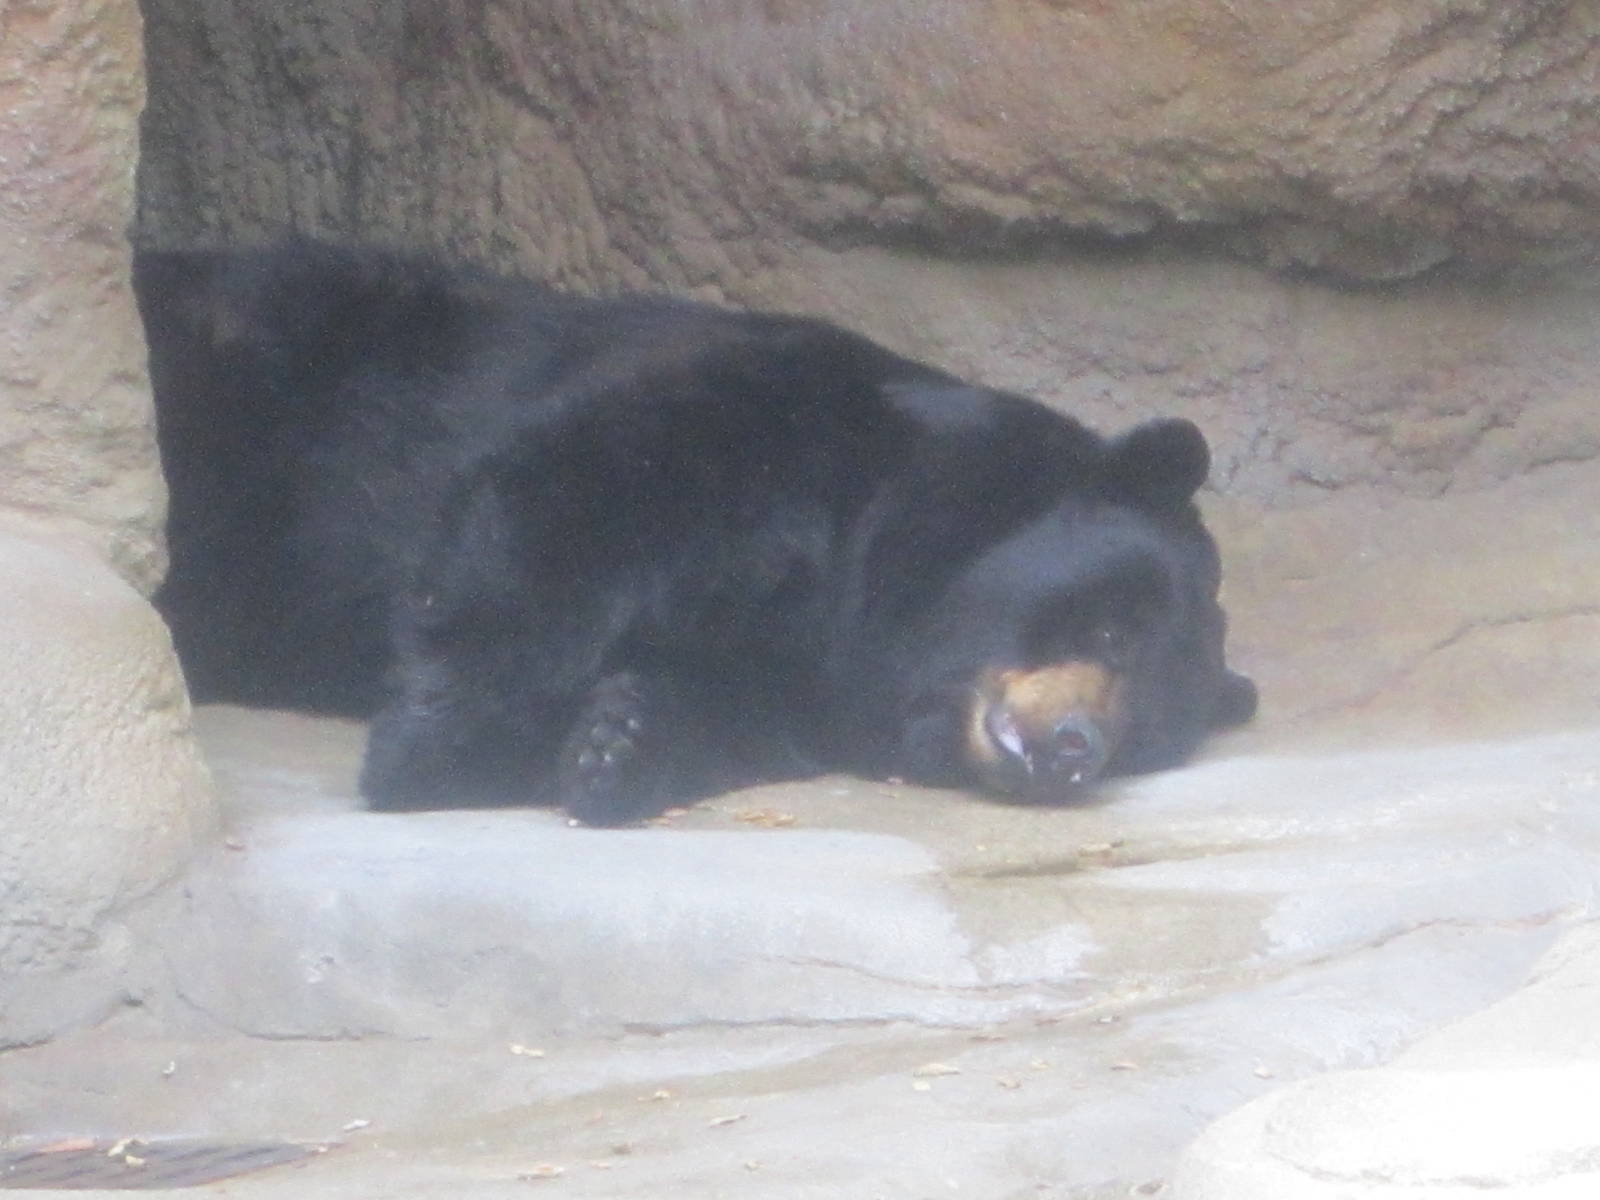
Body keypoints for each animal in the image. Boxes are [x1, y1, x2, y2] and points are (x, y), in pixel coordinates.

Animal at [135, 240, 1256, 827]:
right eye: (1109, 629)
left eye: (1139, 733)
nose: (1073, 750)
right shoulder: (780, 414)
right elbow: (571, 500)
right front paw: (438, 749)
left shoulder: (813, 675)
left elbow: (737, 709)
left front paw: (617, 743)